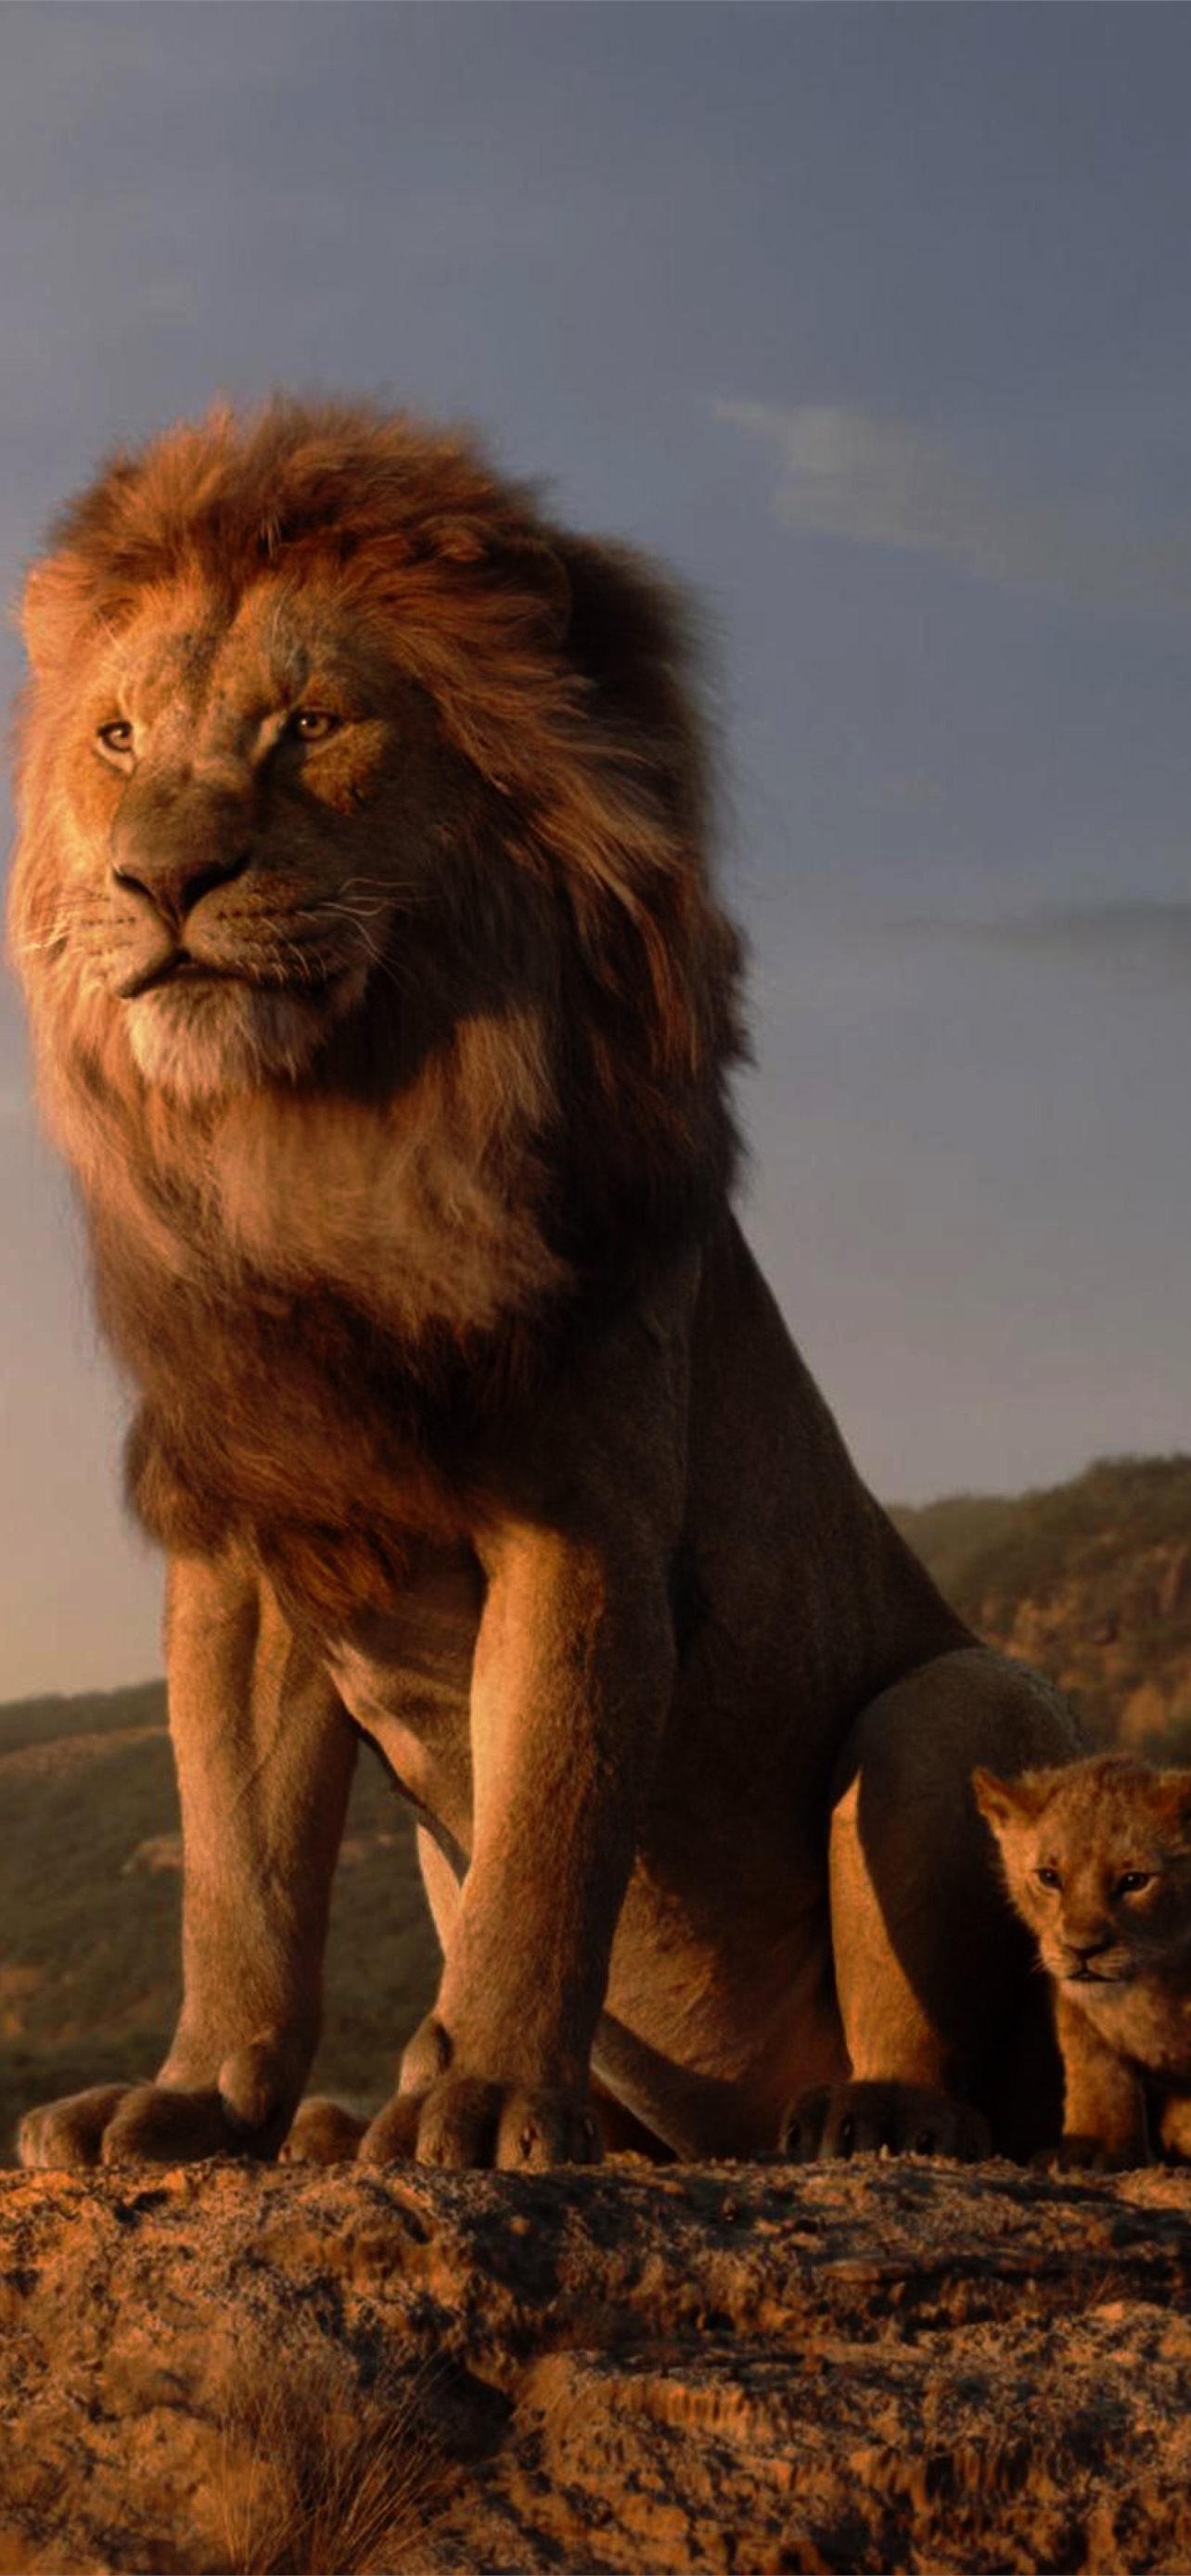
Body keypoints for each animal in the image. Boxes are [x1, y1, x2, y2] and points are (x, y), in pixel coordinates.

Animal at [8, 398, 1079, 2173]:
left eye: (310, 726)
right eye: (115, 739)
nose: (160, 880)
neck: (317, 1143)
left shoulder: (582, 1525)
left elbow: (545, 1840)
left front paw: (489, 2097)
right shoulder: (246, 1549)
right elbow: (238, 1879)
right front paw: (199, 2098)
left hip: (952, 1702)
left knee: (959, 2054)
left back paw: (862, 2113)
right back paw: (350, 2123)